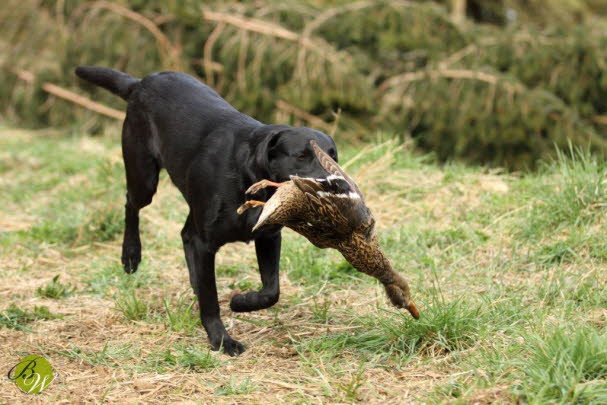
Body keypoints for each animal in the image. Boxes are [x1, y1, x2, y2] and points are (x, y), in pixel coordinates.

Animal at [75, 66, 338, 354]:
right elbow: (211, 300)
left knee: (185, 234)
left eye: (333, 156)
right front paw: (222, 340)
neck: (249, 177)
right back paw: (131, 255)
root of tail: (144, 81)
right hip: (143, 178)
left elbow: (271, 290)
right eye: (301, 155)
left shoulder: (268, 236)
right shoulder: (206, 244)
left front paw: (241, 302)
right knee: (131, 206)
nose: (335, 183)